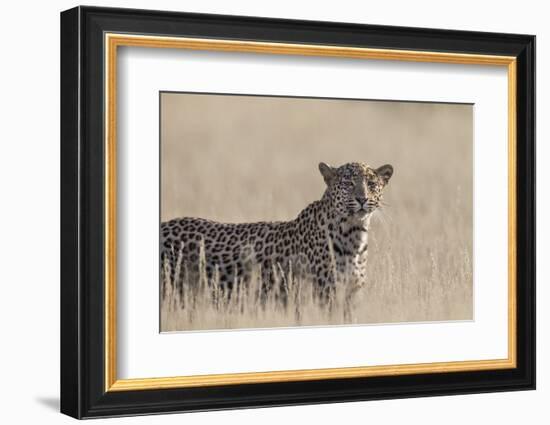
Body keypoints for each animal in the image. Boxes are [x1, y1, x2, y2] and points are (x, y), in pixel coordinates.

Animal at [162, 161, 394, 314]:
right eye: (348, 184)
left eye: (371, 184)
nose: (362, 199)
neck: (354, 234)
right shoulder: (324, 295)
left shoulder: (351, 296)